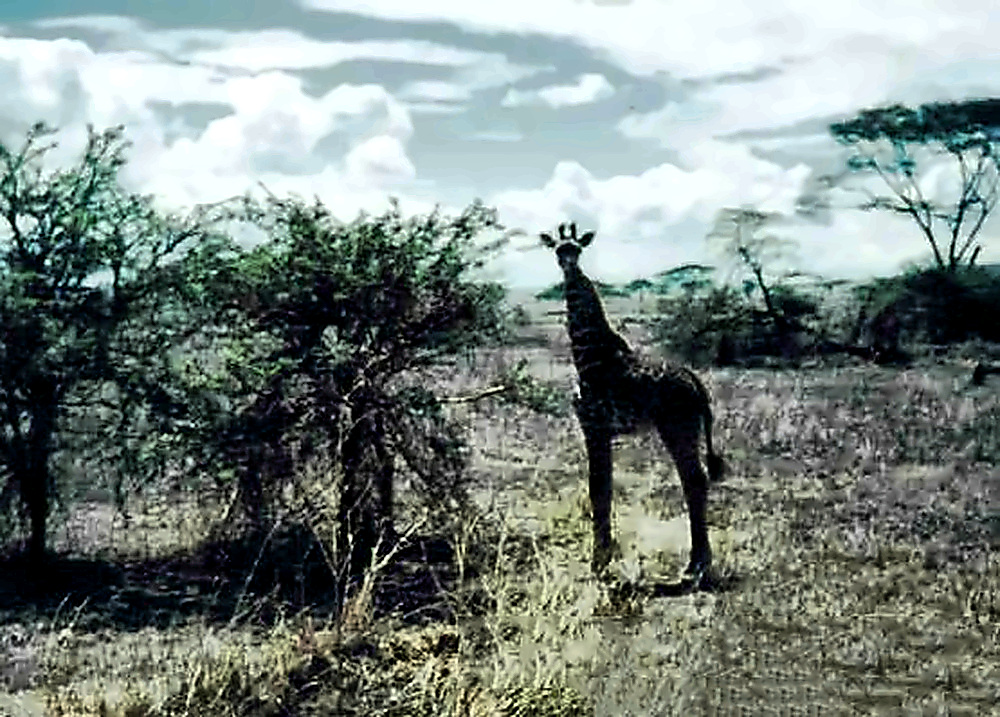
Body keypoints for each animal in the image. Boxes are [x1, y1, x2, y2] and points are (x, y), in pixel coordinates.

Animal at [541, 222, 724, 585]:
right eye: (558, 249)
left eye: (576, 249)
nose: (568, 266)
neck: (589, 355)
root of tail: (696, 384)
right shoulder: (599, 430)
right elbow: (605, 488)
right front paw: (604, 556)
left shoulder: (593, 426)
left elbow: (598, 488)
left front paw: (598, 562)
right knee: (694, 480)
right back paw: (697, 563)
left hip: (677, 427)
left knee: (695, 480)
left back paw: (696, 566)